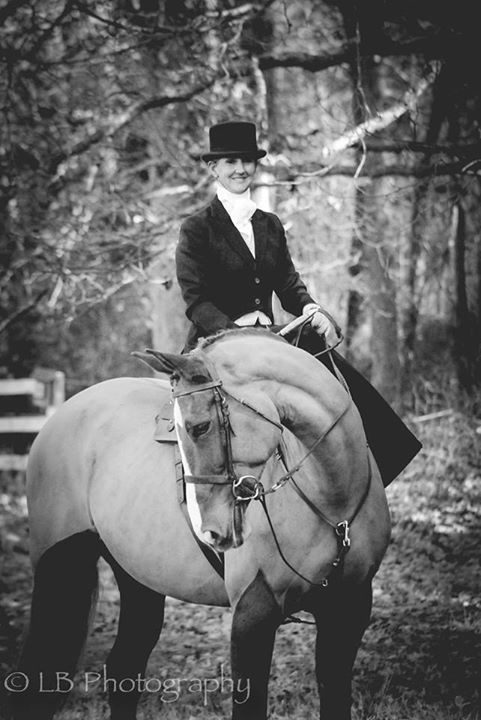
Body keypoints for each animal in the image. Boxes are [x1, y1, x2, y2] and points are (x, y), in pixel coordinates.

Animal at [9, 328, 388, 720]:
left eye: (199, 427)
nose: (211, 531)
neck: (331, 498)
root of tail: (59, 416)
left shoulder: (350, 608)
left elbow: (335, 692)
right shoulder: (253, 613)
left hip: (138, 577)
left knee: (124, 668)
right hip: (61, 565)